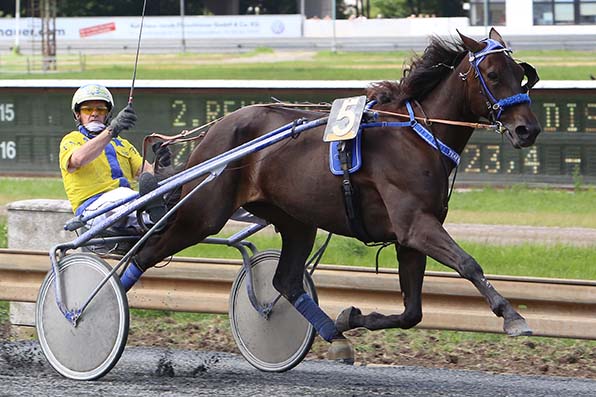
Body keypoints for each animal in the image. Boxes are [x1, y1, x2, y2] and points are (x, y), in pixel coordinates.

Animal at [134, 28, 540, 340]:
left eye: (521, 74)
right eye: (491, 74)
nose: (528, 129)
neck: (416, 136)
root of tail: (214, 129)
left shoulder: (410, 236)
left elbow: (412, 312)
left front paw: (351, 318)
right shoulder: (415, 225)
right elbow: (468, 264)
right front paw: (512, 316)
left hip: (295, 220)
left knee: (286, 281)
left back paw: (332, 333)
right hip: (202, 213)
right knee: (143, 254)